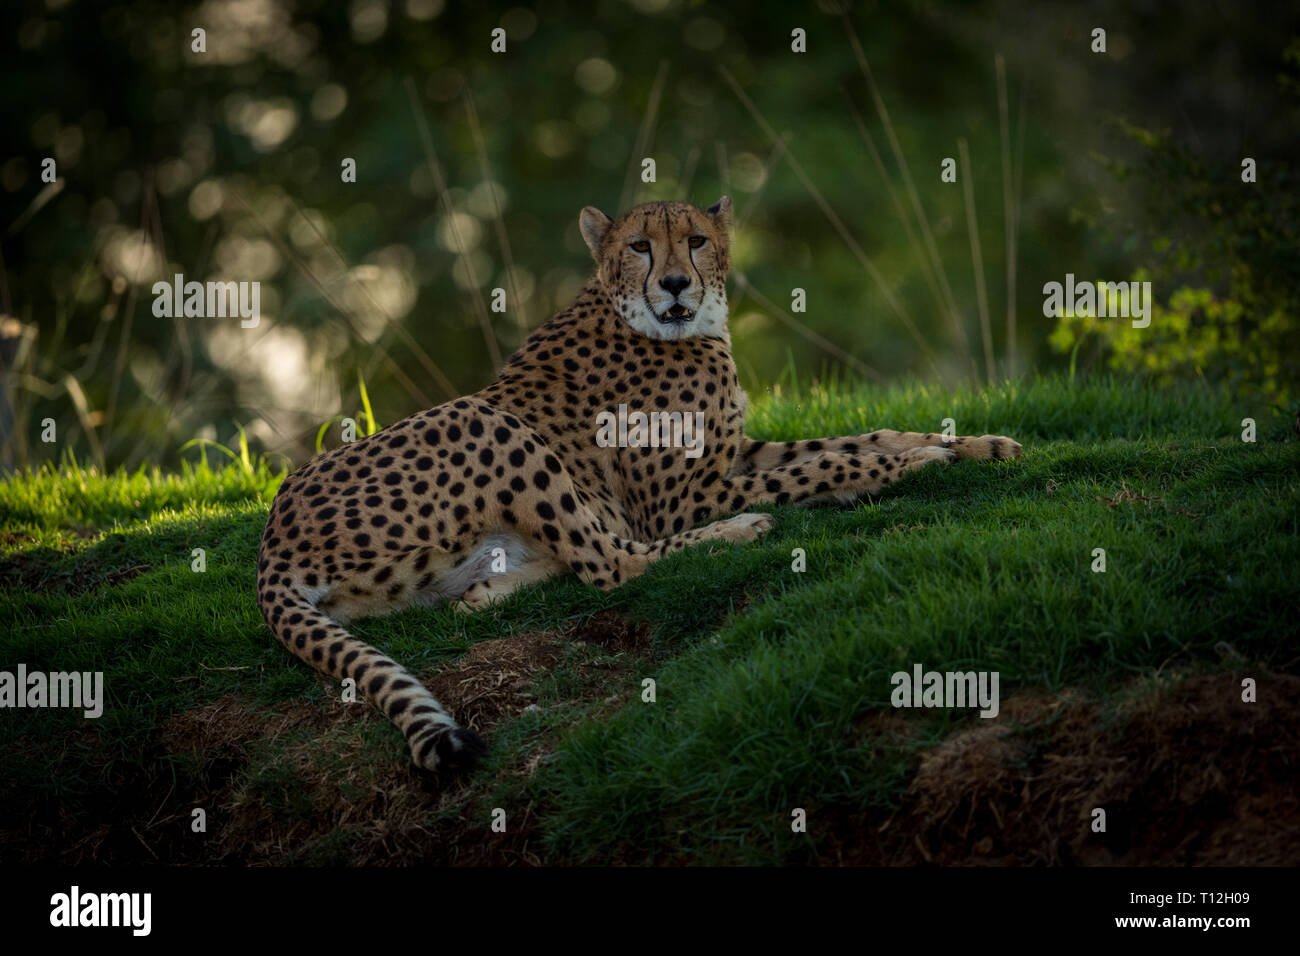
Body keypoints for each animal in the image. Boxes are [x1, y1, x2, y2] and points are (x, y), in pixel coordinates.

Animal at [256, 197, 1023, 772]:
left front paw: (974, 443)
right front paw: (917, 466)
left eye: (695, 241)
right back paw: (734, 533)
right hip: (486, 418)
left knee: (515, 583)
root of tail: (271, 537)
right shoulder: (683, 500)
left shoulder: (736, 453)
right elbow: (827, 466)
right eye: (639, 247)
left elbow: (856, 440)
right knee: (611, 563)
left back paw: (491, 589)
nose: (677, 284)